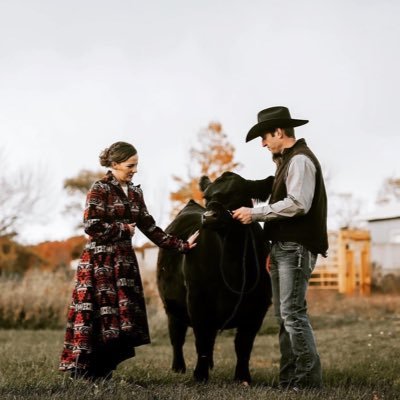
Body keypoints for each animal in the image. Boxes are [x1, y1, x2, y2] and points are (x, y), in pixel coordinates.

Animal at [158, 172, 274, 384]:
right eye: (207, 197)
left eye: (236, 192)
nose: (209, 216)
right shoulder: (197, 300)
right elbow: (202, 340)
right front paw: (200, 375)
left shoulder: (258, 307)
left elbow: (243, 345)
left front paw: (243, 377)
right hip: (170, 306)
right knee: (177, 337)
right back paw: (178, 368)